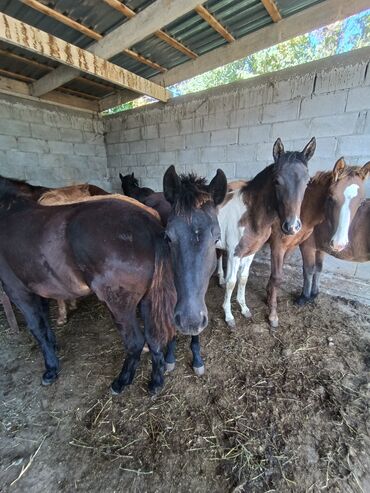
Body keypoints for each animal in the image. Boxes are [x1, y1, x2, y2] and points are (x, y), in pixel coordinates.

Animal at [0, 167, 225, 394]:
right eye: (169, 238)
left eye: (217, 238)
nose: (190, 321)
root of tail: (147, 222)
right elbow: (44, 323)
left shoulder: (17, 290)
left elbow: (37, 328)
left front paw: (51, 369)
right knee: (152, 338)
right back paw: (155, 381)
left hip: (120, 303)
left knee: (135, 342)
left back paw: (121, 381)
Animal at [217, 137, 316, 326]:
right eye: (277, 181)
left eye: (307, 182)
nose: (292, 226)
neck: (250, 215)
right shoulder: (235, 253)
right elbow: (232, 282)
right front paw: (229, 316)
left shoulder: (250, 252)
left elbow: (243, 278)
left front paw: (244, 309)